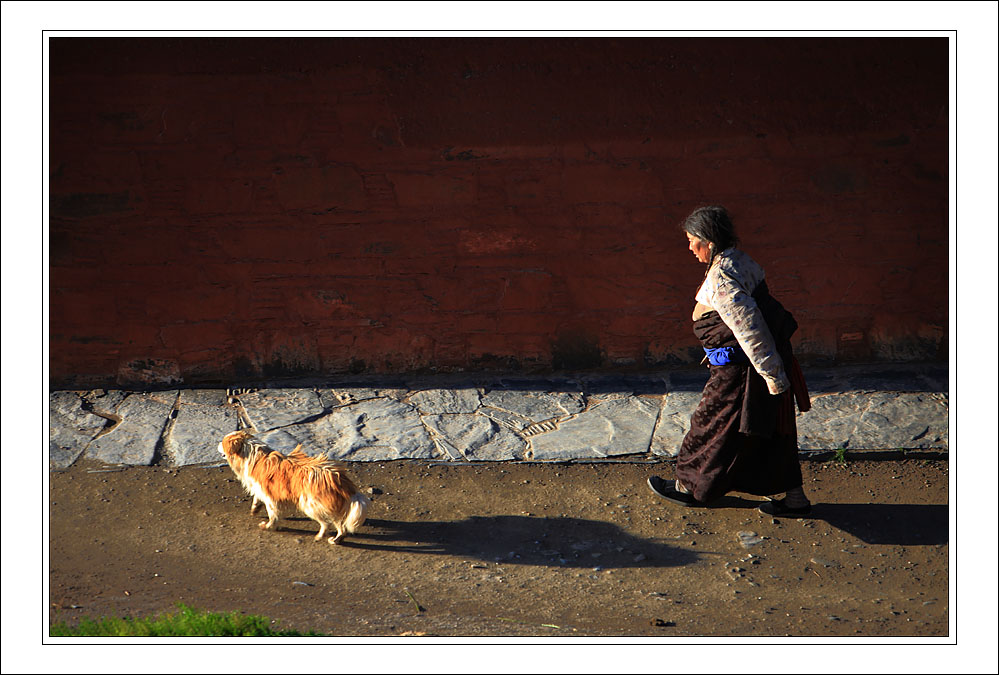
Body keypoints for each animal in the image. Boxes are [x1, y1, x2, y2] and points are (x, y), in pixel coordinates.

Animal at [219, 430, 372, 548]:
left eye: (223, 442)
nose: (217, 445)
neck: (251, 454)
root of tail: (339, 479)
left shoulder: (270, 497)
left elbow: (272, 514)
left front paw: (268, 526)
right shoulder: (261, 489)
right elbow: (257, 499)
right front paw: (254, 510)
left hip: (310, 505)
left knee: (327, 523)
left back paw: (321, 536)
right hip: (328, 505)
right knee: (340, 525)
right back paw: (337, 540)